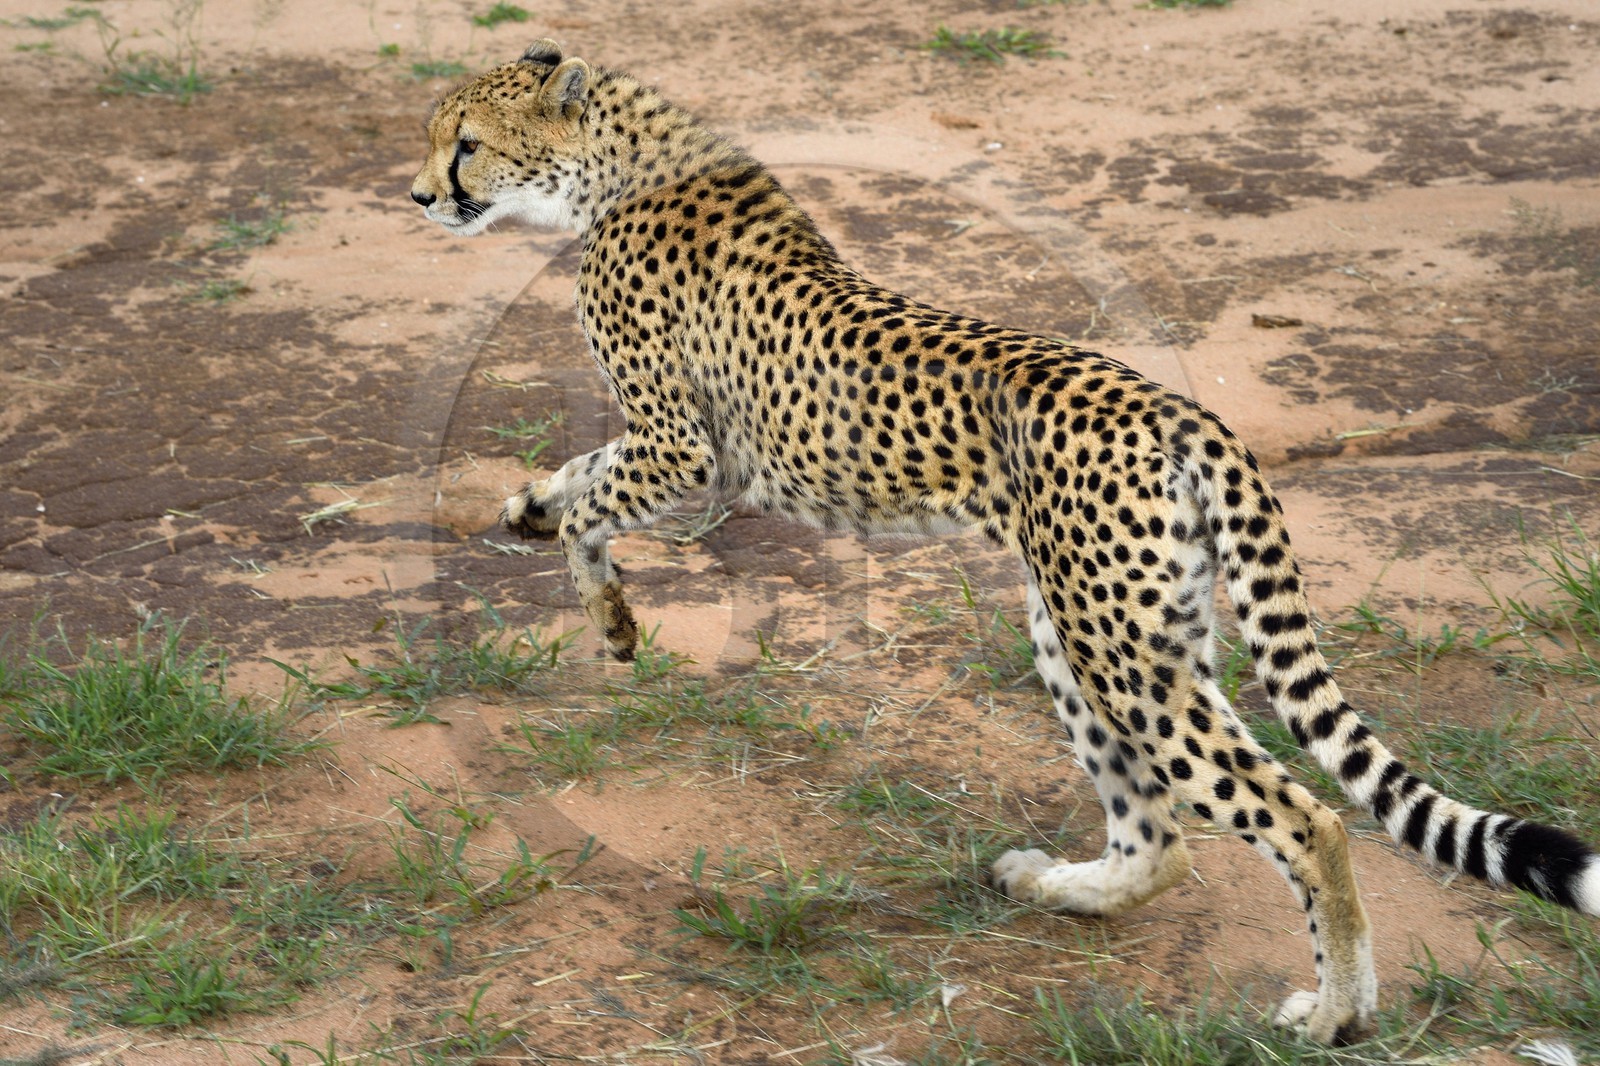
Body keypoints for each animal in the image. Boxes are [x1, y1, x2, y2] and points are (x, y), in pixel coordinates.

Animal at [411, 40, 1600, 1044]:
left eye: (464, 139)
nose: (420, 196)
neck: (617, 164)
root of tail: (1182, 409)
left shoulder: (687, 450)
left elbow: (594, 501)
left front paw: (604, 608)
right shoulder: (672, 447)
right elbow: (574, 479)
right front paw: (530, 518)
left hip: (1117, 650)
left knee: (1302, 818)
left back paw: (1336, 1013)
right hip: (1105, 631)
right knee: (1160, 833)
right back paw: (1064, 887)